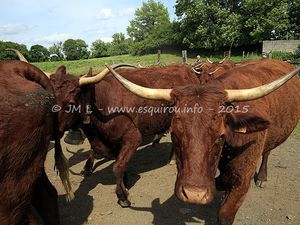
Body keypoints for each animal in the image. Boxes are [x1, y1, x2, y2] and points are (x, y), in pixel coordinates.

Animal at [107, 59, 300, 224]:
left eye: (221, 136)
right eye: (174, 134)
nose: (194, 195)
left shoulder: (243, 179)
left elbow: (225, 213)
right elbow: (221, 181)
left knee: (267, 152)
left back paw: (261, 177)